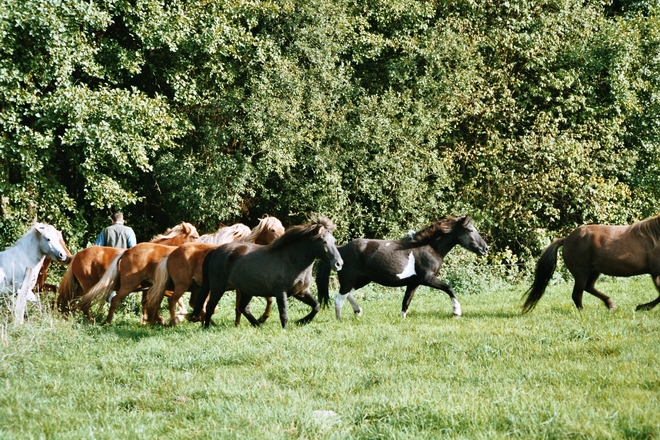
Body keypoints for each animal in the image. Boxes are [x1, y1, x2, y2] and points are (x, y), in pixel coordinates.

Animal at [57, 222, 197, 322]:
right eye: (194, 236)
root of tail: (77, 256)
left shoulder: (148, 289)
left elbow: (147, 304)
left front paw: (148, 322)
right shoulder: (163, 287)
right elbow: (174, 300)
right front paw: (176, 317)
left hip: (80, 288)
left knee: (72, 302)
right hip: (89, 287)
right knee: (84, 305)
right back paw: (93, 321)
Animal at [193, 215, 342, 328]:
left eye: (333, 240)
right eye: (324, 241)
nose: (339, 264)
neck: (292, 260)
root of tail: (215, 250)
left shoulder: (301, 292)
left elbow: (316, 306)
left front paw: (302, 321)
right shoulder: (281, 292)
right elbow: (284, 314)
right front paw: (286, 329)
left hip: (246, 290)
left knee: (243, 308)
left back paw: (258, 325)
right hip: (218, 287)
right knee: (210, 306)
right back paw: (207, 327)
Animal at [318, 217, 488, 320]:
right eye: (470, 230)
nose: (485, 249)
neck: (429, 247)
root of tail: (340, 250)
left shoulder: (414, 283)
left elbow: (406, 302)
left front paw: (402, 318)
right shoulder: (427, 278)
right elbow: (449, 288)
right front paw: (456, 311)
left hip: (363, 279)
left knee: (348, 294)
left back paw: (358, 311)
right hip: (349, 279)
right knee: (339, 298)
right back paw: (340, 319)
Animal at [524, 214, 660, 312]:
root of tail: (566, 240)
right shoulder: (655, 273)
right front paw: (643, 307)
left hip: (594, 271)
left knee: (588, 288)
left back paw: (610, 305)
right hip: (581, 273)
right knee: (577, 294)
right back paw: (584, 311)